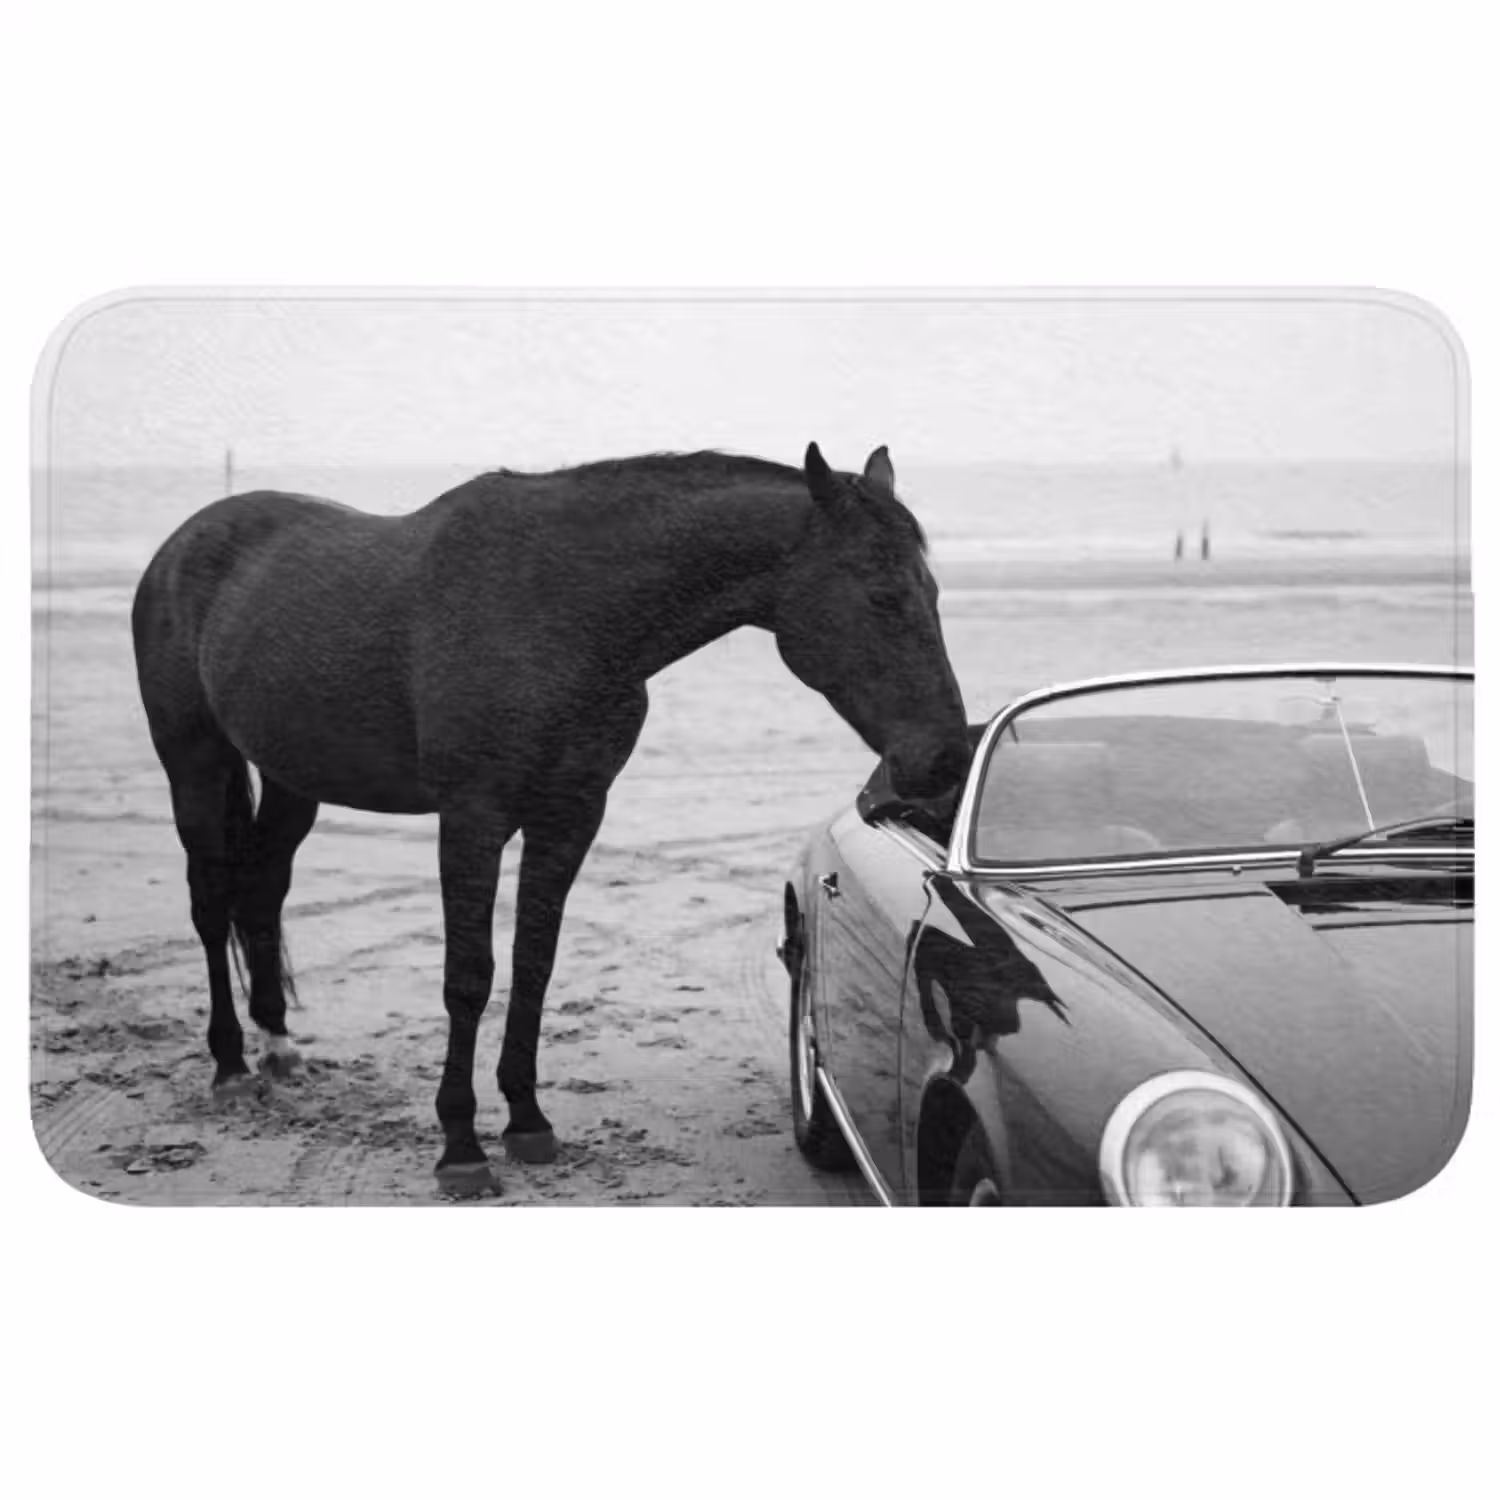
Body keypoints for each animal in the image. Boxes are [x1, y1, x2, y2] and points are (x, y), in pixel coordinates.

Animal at [131, 442, 970, 1195]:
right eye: (882, 596)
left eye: (934, 594)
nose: (945, 759)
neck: (559, 607)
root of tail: (186, 543)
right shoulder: (472, 817)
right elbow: (469, 976)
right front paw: (461, 1148)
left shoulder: (569, 816)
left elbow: (534, 963)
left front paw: (527, 1121)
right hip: (194, 762)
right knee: (211, 901)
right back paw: (230, 1065)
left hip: (289, 777)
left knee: (262, 889)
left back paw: (277, 1045)